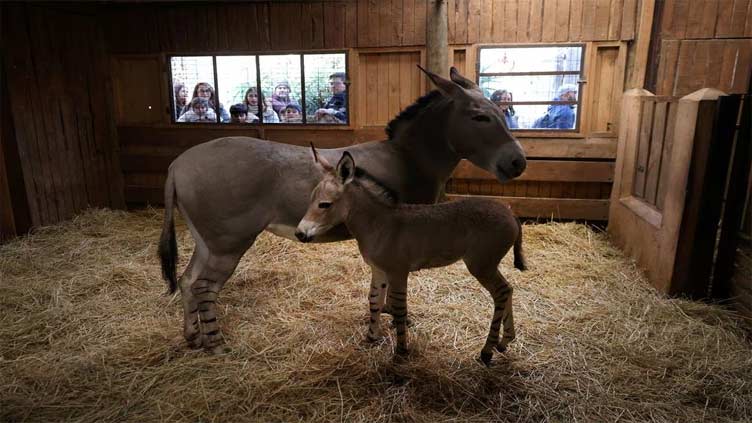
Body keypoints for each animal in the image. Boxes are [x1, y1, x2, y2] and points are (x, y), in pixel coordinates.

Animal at [296, 151, 524, 366]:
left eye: (324, 204)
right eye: (311, 200)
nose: (299, 234)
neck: (378, 224)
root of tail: (510, 213)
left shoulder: (398, 273)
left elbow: (399, 309)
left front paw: (401, 351)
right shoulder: (378, 270)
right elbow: (374, 301)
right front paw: (370, 338)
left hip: (481, 265)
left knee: (501, 293)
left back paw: (487, 351)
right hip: (488, 265)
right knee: (508, 289)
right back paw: (505, 342)